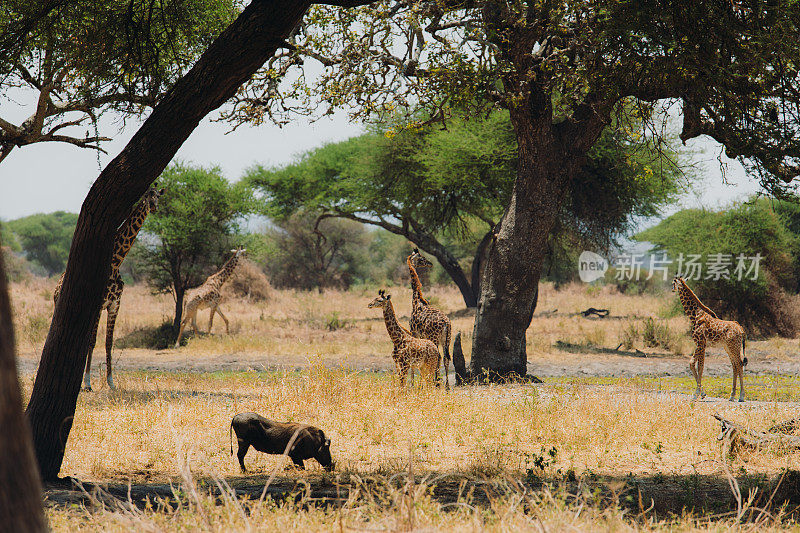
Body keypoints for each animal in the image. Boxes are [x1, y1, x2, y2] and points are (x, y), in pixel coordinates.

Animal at [53, 185, 166, 388]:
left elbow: (108, 342)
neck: (115, 263)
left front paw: (111, 382)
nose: (154, 207)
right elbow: (92, 341)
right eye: (147, 196)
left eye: (158, 197)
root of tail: (56, 288)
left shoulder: (114, 304)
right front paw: (87, 382)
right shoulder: (99, 304)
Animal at [406, 247, 450, 388]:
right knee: (446, 357)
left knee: (439, 356)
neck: (416, 300)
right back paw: (446, 387)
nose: (430, 263)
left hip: (434, 337)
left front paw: (414, 384)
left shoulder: (414, 332)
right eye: (422, 258)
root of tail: (446, 323)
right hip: (446, 338)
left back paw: (437, 382)